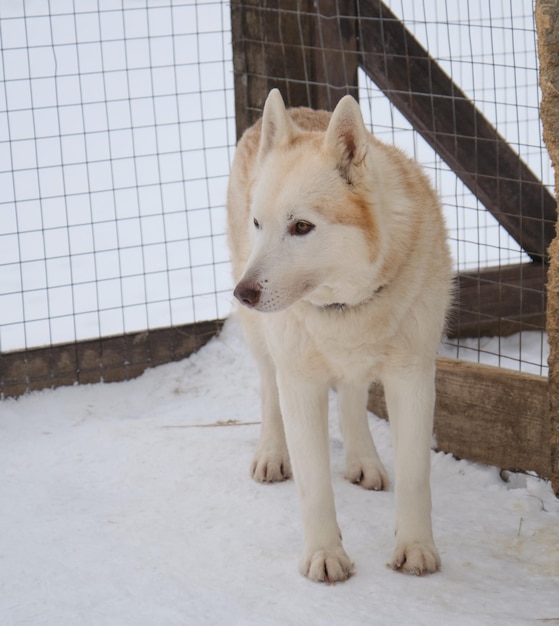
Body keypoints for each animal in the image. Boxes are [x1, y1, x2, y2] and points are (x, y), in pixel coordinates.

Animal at [226, 89, 450, 580]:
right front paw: (325, 556)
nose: (243, 294)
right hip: (262, 340)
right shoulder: (300, 382)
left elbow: (416, 477)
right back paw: (272, 453)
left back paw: (363, 460)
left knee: (351, 395)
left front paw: (416, 549)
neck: (345, 306)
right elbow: (314, 487)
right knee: (268, 389)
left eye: (301, 227)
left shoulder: (413, 377)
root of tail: (291, 109)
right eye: (259, 223)